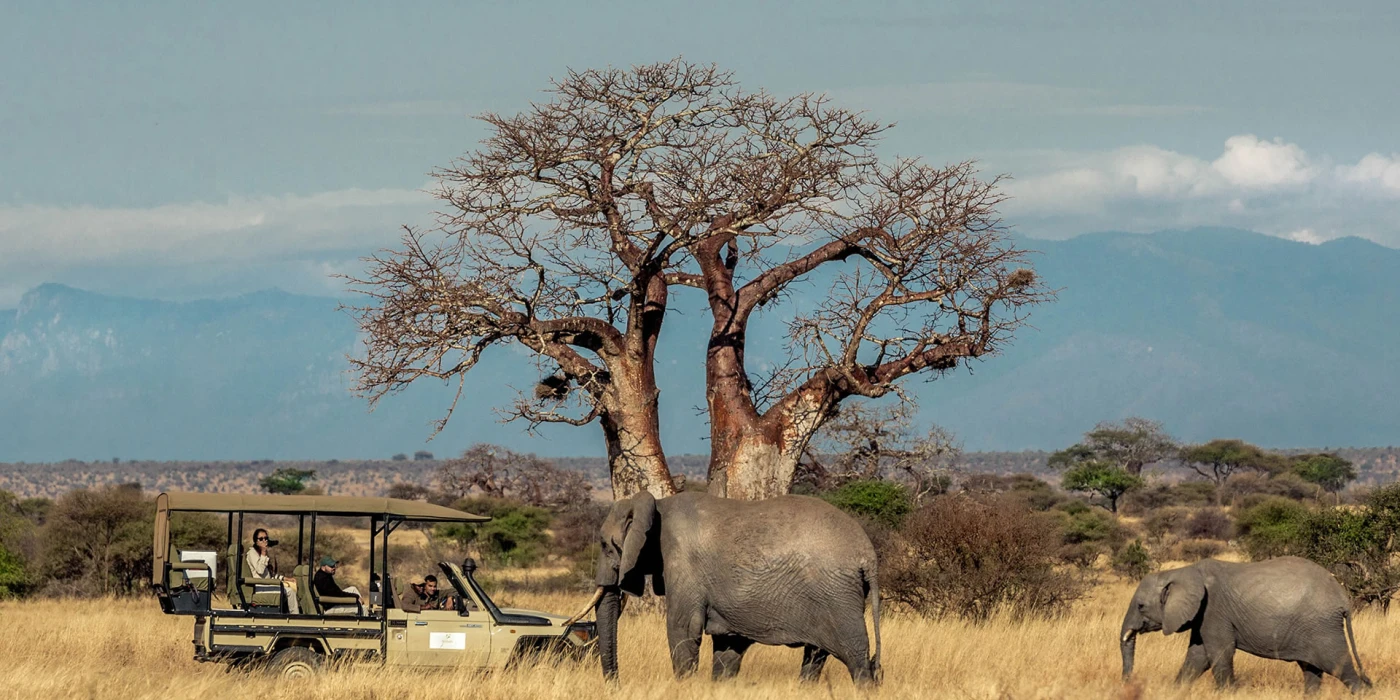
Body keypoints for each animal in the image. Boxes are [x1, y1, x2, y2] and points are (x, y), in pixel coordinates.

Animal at [565, 490, 873, 680]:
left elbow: (682, 628)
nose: (615, 683)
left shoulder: (682, 563)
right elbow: (728, 644)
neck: (656, 504)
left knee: (856, 656)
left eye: (606, 546)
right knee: (817, 655)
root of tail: (867, 553)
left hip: (837, 595)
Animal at [1120, 554, 1372, 691]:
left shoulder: (1214, 610)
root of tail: (1343, 598)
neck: (1184, 571)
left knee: (1340, 668)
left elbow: (1219, 653)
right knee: (1311, 671)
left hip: (1322, 628)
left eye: (1140, 606)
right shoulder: (1202, 615)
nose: (1127, 682)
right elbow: (1197, 657)